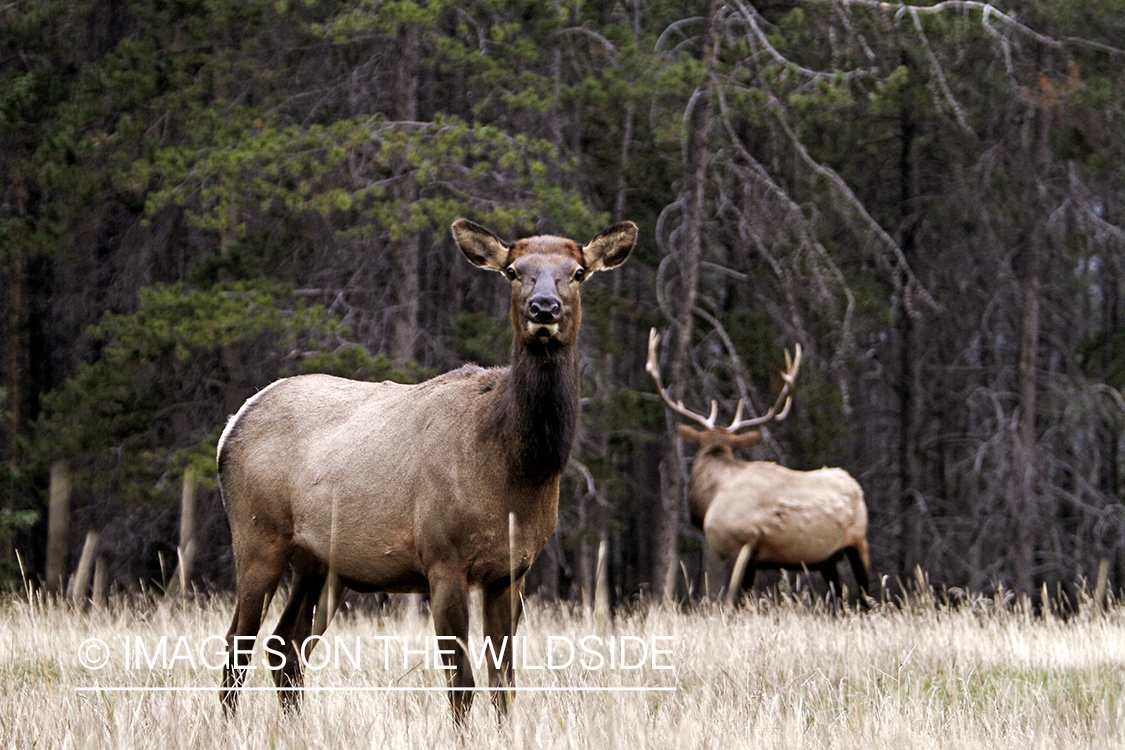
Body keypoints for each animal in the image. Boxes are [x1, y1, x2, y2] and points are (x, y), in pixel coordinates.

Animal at [214, 220, 639, 724]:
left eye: (577, 272)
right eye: (513, 271)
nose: (543, 307)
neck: (514, 469)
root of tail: (232, 425)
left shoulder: (511, 571)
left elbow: (504, 685)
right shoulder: (443, 558)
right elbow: (462, 685)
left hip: (319, 561)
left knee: (286, 647)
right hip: (257, 534)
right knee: (236, 646)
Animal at [648, 330, 873, 611]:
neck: (711, 497)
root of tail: (857, 486)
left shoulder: (737, 545)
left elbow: (731, 602)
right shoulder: (753, 559)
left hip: (858, 541)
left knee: (866, 595)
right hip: (826, 558)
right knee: (841, 595)